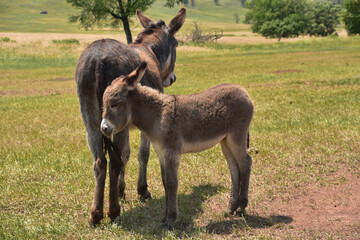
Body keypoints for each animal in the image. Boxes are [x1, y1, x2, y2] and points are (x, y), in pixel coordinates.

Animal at [100, 62, 255, 229]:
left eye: (114, 105)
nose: (103, 129)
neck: (158, 116)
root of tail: (243, 90)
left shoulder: (171, 153)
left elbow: (172, 183)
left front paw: (171, 220)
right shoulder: (162, 153)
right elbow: (165, 183)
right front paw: (164, 219)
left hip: (236, 136)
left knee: (245, 163)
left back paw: (241, 207)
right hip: (225, 140)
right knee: (234, 168)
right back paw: (231, 208)